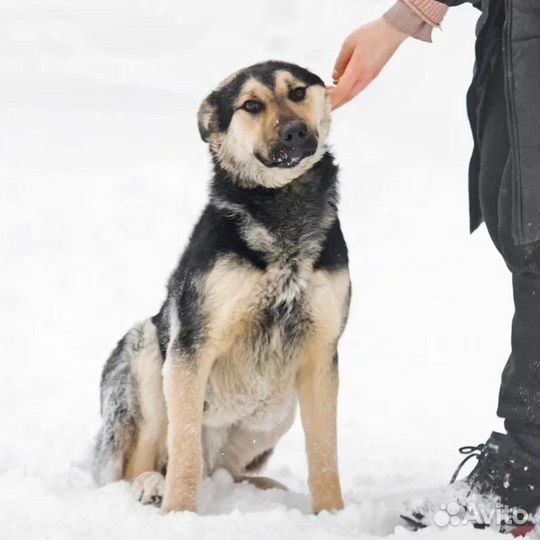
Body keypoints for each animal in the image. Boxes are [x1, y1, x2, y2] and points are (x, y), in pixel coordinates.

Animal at [92, 61, 350, 512]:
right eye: (251, 105)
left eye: (298, 92)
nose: (295, 133)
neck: (283, 207)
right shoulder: (192, 347)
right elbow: (185, 452)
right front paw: (179, 515)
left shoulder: (322, 354)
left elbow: (323, 456)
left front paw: (332, 516)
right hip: (145, 353)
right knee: (142, 463)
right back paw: (150, 486)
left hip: (278, 410)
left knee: (228, 472)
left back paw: (263, 490)